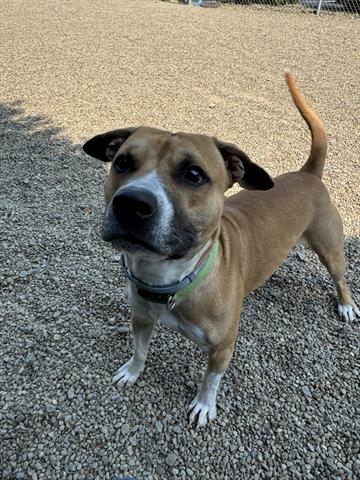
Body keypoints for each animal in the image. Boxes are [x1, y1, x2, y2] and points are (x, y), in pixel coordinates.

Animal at [83, 73, 358, 426]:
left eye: (194, 174)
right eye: (122, 162)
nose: (131, 203)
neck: (171, 279)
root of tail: (306, 173)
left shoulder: (223, 347)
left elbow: (210, 379)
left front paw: (204, 405)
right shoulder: (141, 318)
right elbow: (140, 350)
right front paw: (132, 371)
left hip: (330, 248)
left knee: (340, 277)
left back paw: (346, 305)